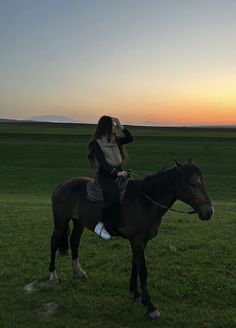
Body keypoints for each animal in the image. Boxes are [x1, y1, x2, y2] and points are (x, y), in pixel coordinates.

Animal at [48, 160, 213, 320]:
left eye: (203, 182)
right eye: (193, 184)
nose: (209, 212)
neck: (145, 202)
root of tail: (62, 186)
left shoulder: (142, 241)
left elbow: (135, 264)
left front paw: (135, 292)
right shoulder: (137, 240)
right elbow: (143, 270)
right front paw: (150, 307)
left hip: (79, 222)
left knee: (75, 241)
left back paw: (79, 271)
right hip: (61, 221)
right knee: (54, 242)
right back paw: (53, 276)